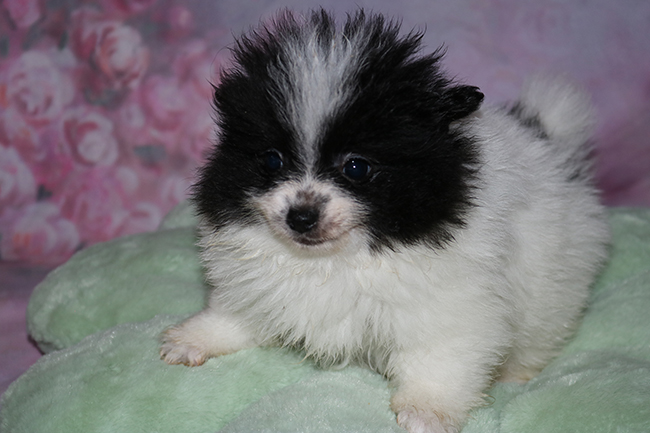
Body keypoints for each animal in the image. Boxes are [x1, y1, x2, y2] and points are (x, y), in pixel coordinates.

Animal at [160, 9, 609, 433]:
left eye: (357, 167)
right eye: (272, 160)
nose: (300, 216)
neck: (335, 258)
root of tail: (549, 139)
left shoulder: (451, 300)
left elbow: (439, 354)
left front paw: (428, 409)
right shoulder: (258, 278)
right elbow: (237, 310)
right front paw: (197, 337)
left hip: (553, 284)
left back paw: (516, 375)